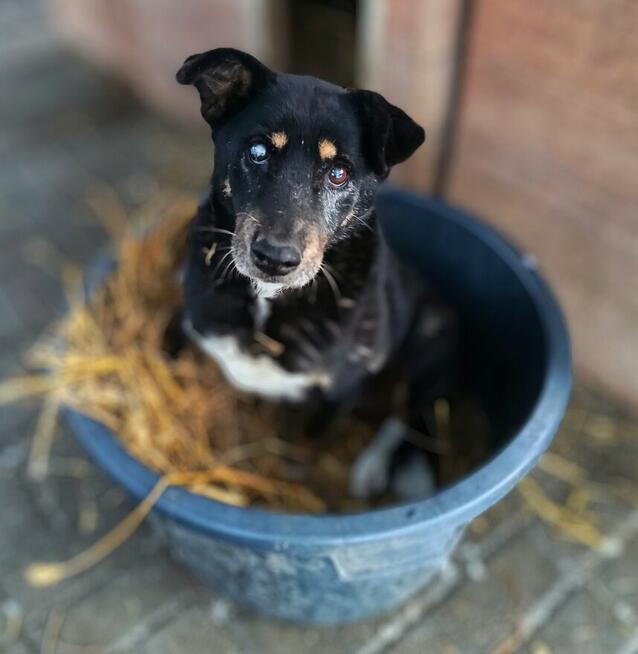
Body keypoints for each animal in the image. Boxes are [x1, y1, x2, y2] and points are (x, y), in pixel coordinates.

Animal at [176, 48, 456, 502]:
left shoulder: (339, 390)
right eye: (258, 151)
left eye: (339, 173)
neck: (267, 301)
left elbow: (305, 443)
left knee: (405, 415)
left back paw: (372, 470)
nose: (275, 258)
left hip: (432, 333)